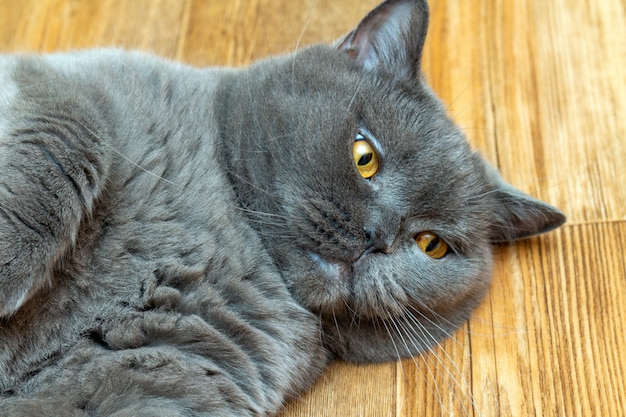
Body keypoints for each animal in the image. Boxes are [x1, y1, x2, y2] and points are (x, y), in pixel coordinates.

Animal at [0, 0, 564, 414]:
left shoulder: (168, 372)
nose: (376, 235)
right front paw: (8, 275)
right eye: (364, 156)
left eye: (432, 244)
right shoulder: (71, 85)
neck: (240, 240)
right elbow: (66, 144)